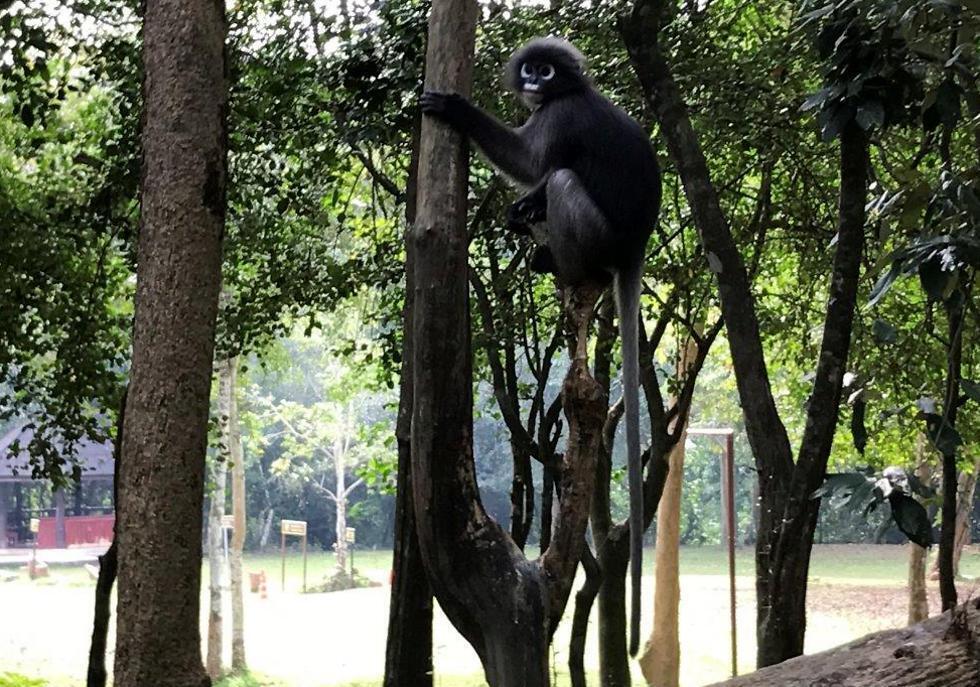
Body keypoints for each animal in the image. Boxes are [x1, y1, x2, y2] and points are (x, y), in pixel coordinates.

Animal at [421, 36, 661, 656]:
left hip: (596, 237)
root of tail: (632, 250)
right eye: (529, 67)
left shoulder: (557, 117)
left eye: (545, 70)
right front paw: (520, 206)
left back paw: (559, 260)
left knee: (562, 181)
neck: (568, 92)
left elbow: (534, 164)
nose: (531, 79)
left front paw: (456, 108)